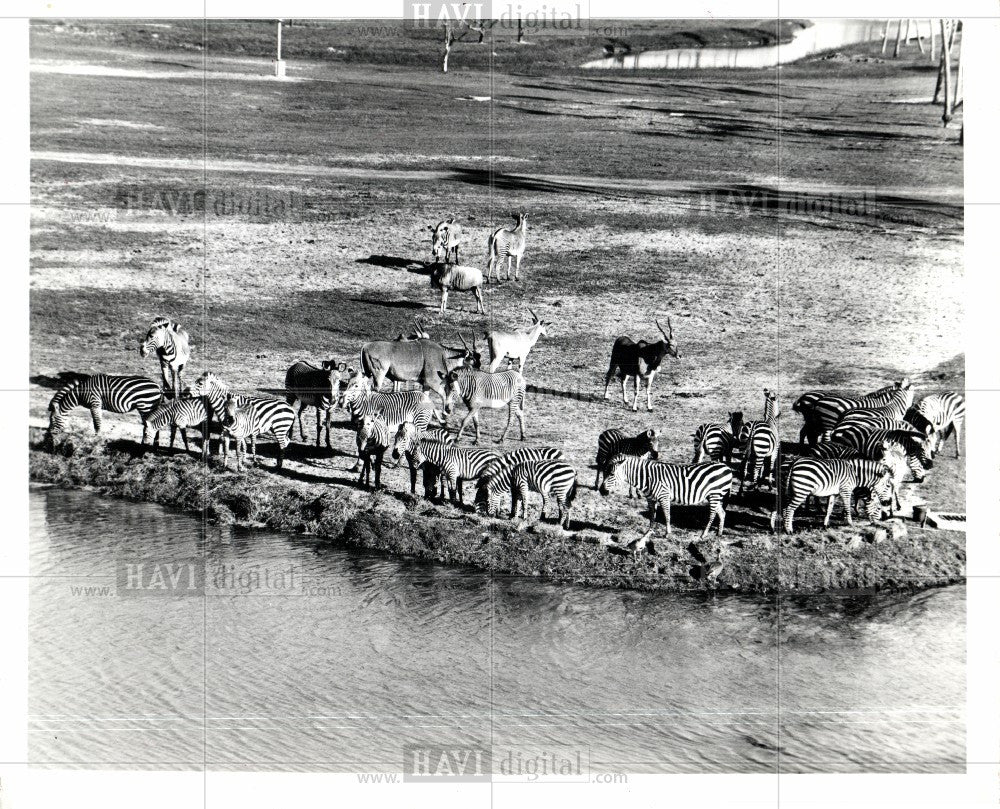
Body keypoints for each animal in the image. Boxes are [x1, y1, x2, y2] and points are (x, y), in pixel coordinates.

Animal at [596, 454, 732, 536]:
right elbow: (652, 516)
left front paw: (667, 533)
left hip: (715, 494)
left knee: (712, 515)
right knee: (722, 513)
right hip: (715, 496)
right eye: (604, 472)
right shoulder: (651, 499)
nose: (602, 491)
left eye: (611, 474)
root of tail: (726, 466)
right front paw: (649, 532)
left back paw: (703, 535)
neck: (647, 477)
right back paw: (719, 533)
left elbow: (667, 515)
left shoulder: (664, 496)